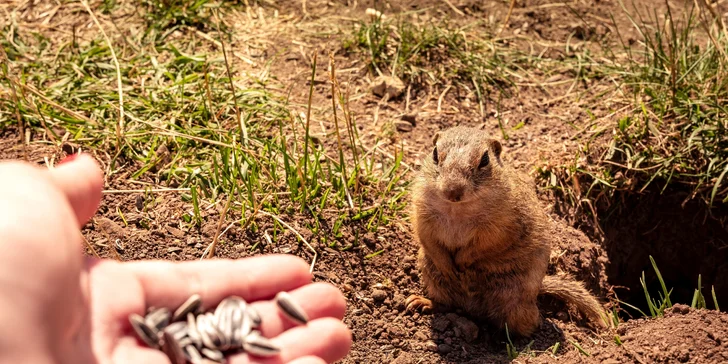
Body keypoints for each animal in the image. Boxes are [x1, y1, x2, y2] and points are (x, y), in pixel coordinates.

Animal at [404, 126, 608, 338]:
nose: (452, 191)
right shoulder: (421, 211)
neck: (457, 208)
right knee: (448, 304)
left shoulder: (500, 224)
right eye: (435, 154)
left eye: (485, 159)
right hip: (431, 273)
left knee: (528, 324)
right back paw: (422, 302)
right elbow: (427, 238)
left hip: (514, 301)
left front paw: (462, 261)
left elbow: (485, 245)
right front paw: (448, 266)